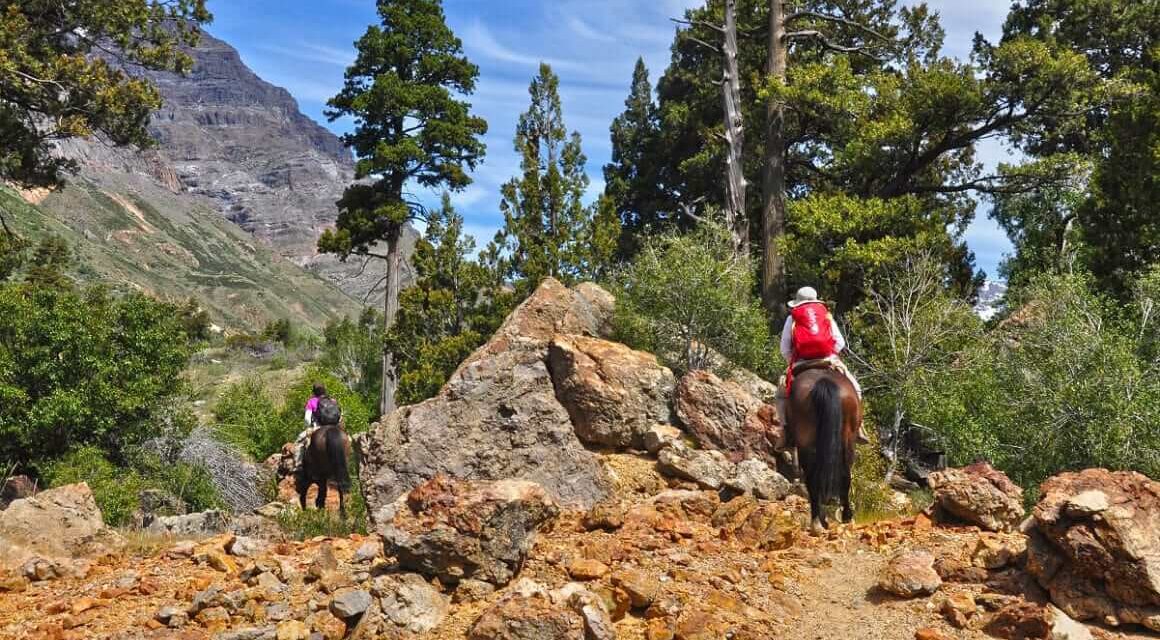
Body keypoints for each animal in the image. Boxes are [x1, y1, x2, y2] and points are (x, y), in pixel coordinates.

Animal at [788, 364, 863, 535]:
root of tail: (824, 381)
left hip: (806, 442)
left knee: (813, 478)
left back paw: (817, 522)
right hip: (847, 439)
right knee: (843, 475)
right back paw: (843, 518)